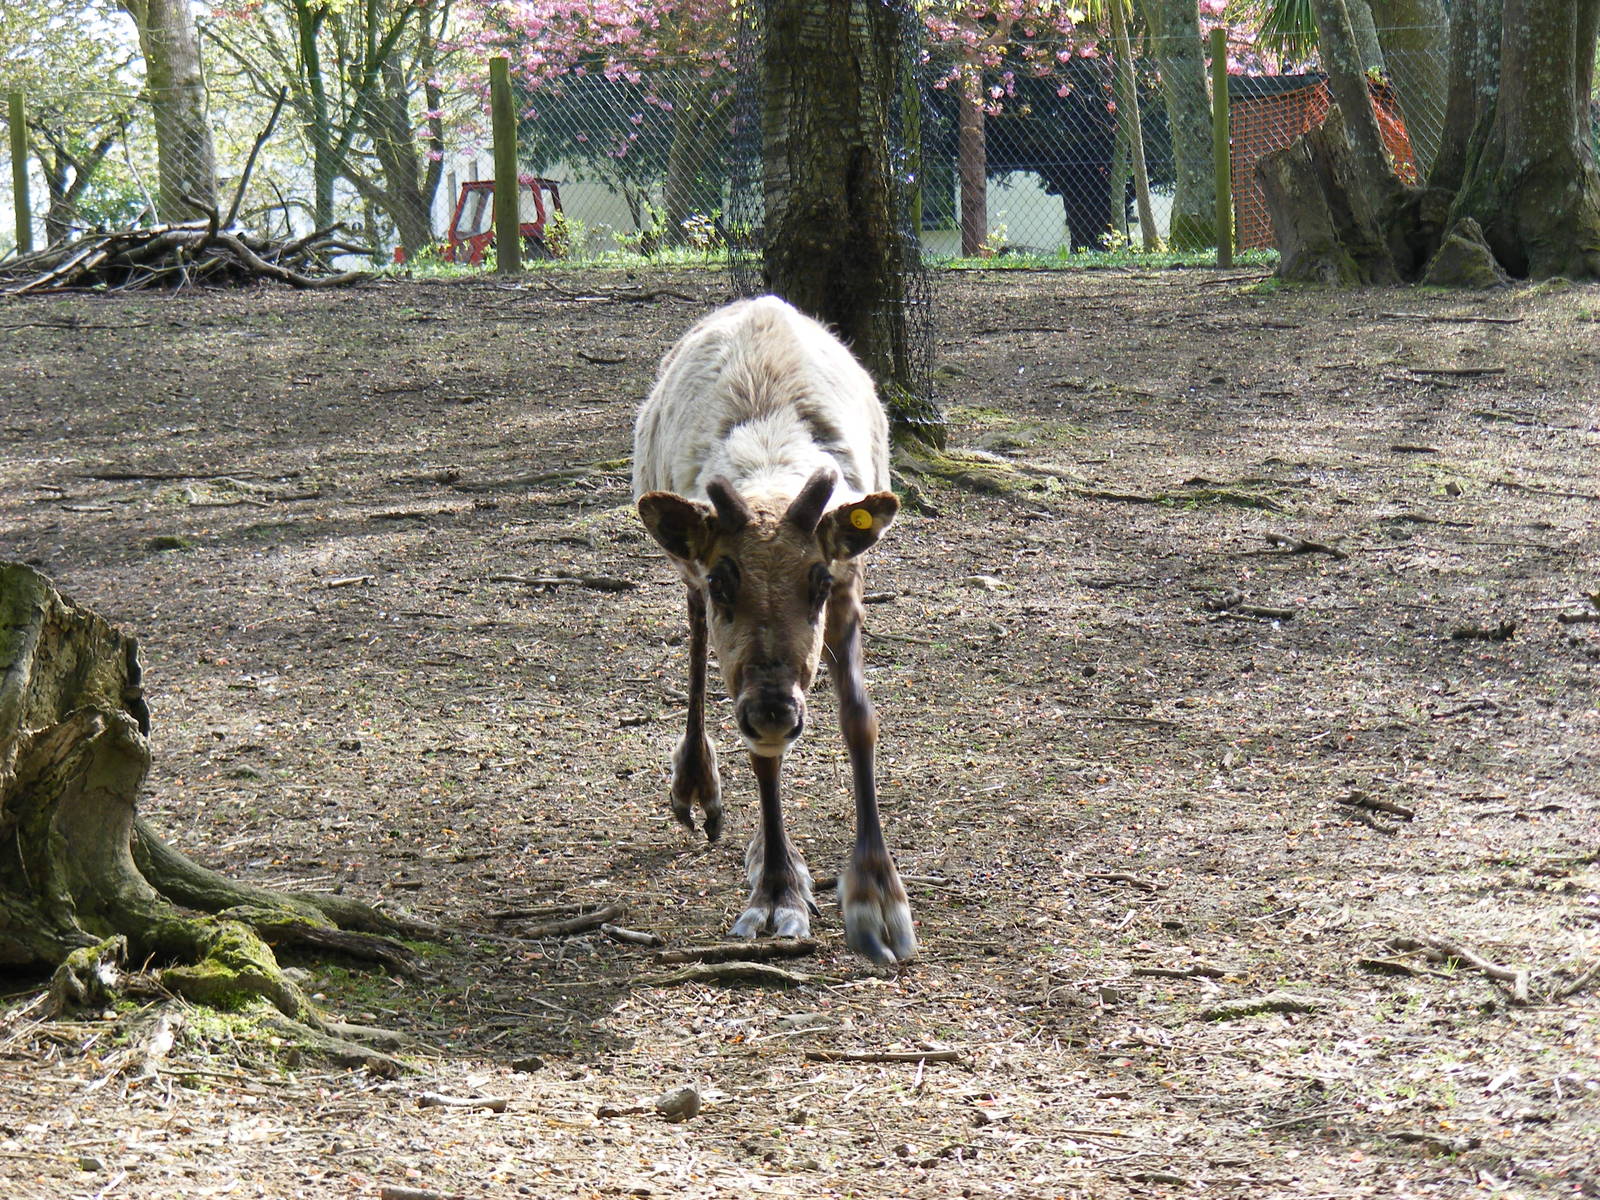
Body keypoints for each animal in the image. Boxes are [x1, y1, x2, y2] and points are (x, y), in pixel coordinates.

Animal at [632, 296, 916, 965]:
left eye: (816, 580)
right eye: (723, 581)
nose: (774, 711)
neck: (768, 468)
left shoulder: (848, 581)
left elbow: (859, 720)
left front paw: (876, 892)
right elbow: (763, 758)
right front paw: (778, 892)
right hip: (683, 570)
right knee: (696, 644)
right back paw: (700, 785)